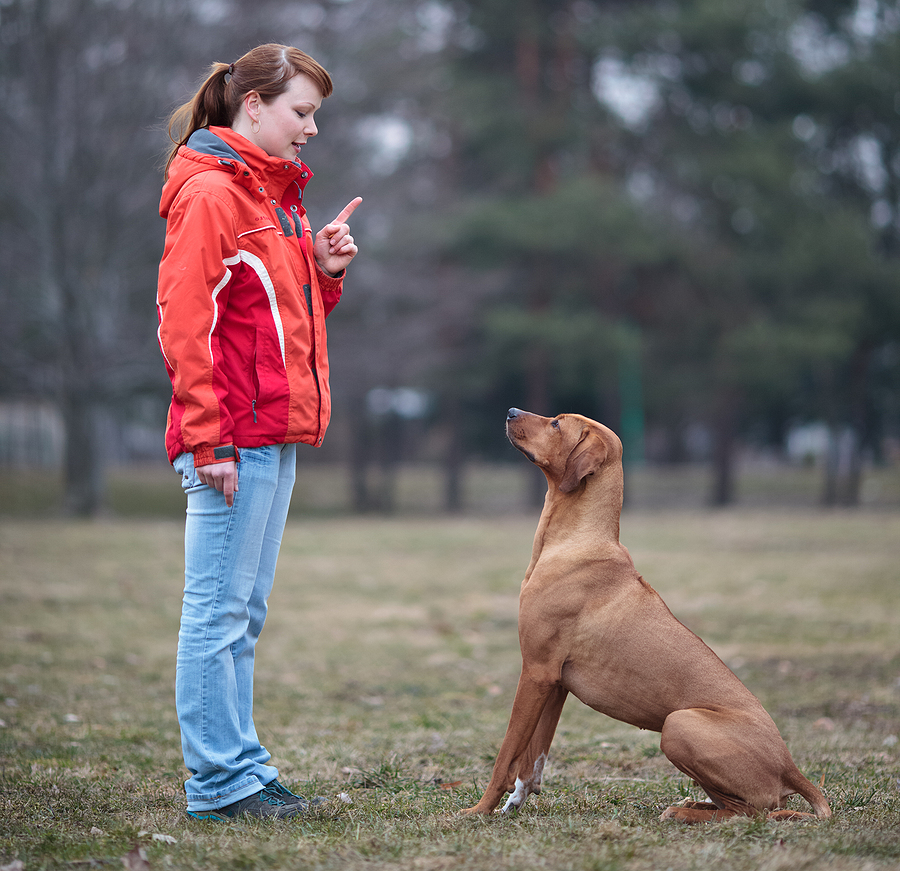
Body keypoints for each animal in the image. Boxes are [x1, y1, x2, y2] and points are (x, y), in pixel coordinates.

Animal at [468, 408, 832, 824]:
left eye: (557, 423)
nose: (510, 412)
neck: (576, 540)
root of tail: (790, 766)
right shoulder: (554, 682)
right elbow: (533, 757)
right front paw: (517, 800)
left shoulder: (535, 671)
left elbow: (506, 755)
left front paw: (478, 809)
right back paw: (693, 805)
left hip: (679, 724)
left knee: (751, 812)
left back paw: (683, 812)